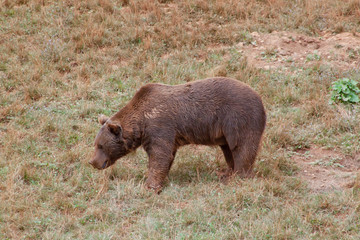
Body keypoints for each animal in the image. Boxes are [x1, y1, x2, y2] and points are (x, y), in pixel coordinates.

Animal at [89, 77, 266, 193]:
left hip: (239, 118)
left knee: (242, 148)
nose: (92, 162)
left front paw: (149, 186)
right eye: (95, 144)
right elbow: (168, 156)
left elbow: (159, 156)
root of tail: (260, 98)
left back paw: (237, 177)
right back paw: (226, 172)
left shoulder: (160, 125)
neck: (141, 123)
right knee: (228, 150)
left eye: (101, 145)